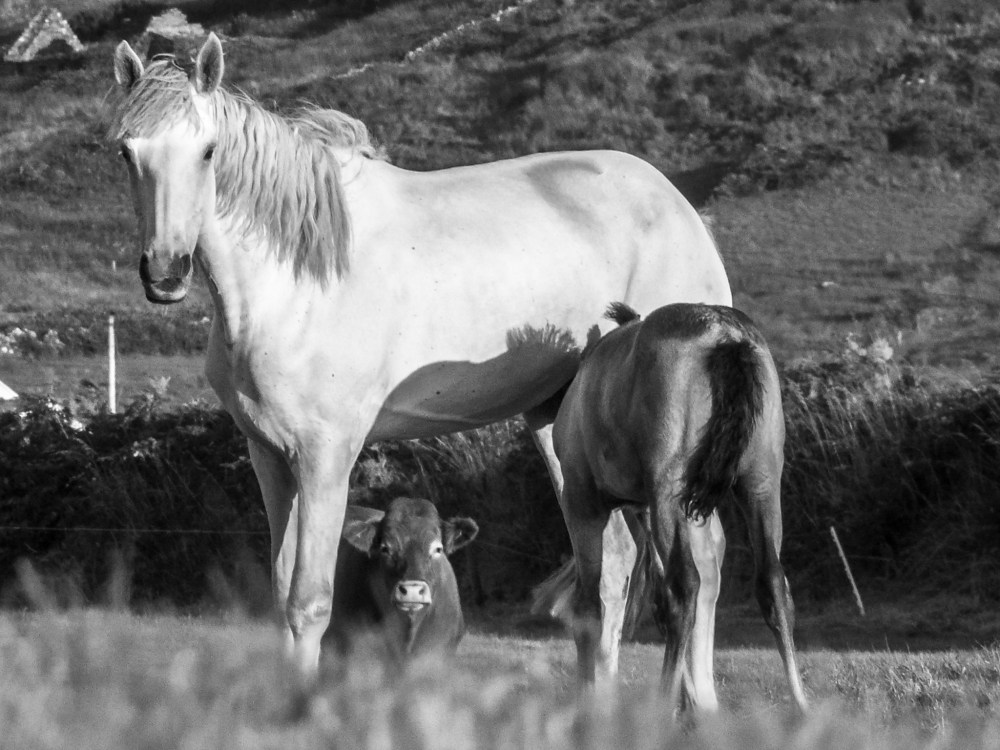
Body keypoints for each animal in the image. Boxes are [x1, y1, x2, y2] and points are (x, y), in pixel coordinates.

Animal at [542, 302, 808, 711]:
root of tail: (726, 336)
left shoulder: (583, 500)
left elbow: (589, 606)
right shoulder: (647, 508)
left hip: (670, 490)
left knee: (685, 587)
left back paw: (662, 709)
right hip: (760, 484)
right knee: (773, 585)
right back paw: (801, 706)